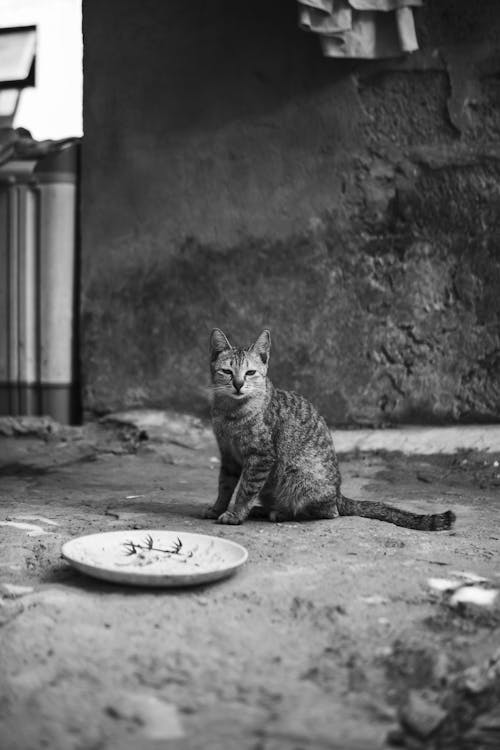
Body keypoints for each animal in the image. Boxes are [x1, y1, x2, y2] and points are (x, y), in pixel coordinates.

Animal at [204, 330, 458, 536]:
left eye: (250, 372)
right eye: (227, 371)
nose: (238, 384)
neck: (231, 412)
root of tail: (338, 492)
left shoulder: (261, 457)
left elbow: (246, 489)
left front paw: (236, 514)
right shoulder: (228, 456)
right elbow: (224, 485)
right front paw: (217, 507)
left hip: (298, 476)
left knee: (329, 511)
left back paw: (281, 512)